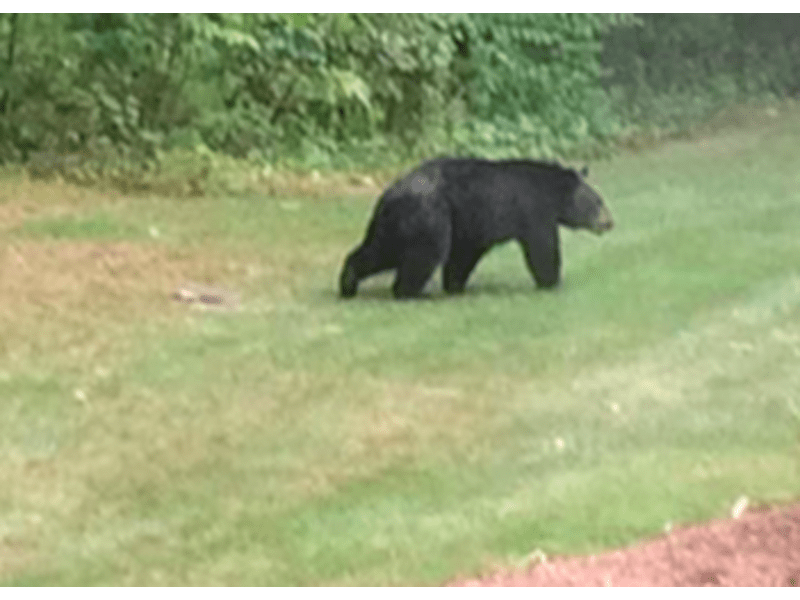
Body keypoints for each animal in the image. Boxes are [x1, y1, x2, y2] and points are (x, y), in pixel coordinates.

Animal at [339, 157, 613, 299]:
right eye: (599, 202)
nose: (609, 222)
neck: (550, 192)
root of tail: (387, 194)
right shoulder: (533, 212)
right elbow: (542, 248)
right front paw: (552, 282)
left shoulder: (472, 222)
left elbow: (464, 253)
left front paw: (455, 285)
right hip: (428, 216)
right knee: (424, 254)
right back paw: (411, 292)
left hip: (397, 223)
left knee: (378, 250)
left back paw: (348, 283)